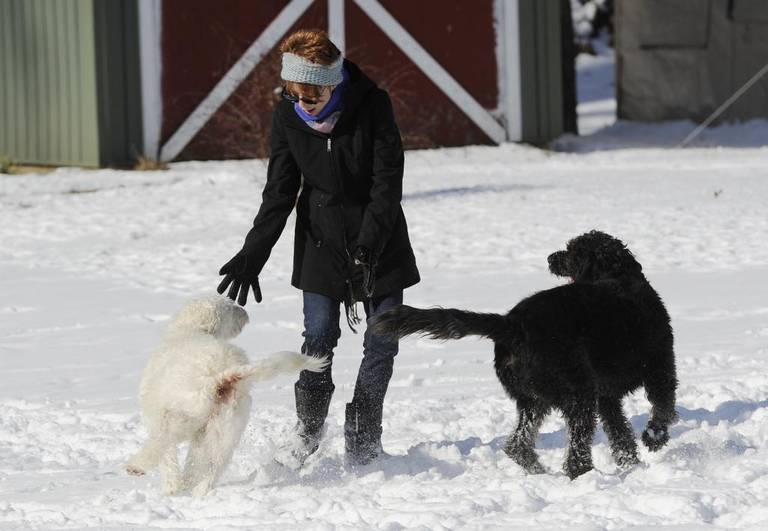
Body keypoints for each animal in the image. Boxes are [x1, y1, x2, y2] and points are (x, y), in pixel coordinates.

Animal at [125, 298, 328, 496]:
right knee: (212, 468)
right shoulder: (201, 435)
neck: (194, 329)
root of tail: (219, 378)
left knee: (160, 444)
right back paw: (198, 492)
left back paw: (136, 466)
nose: (245, 313)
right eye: (230, 307)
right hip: (224, 431)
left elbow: (168, 461)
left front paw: (171, 488)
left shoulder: (157, 416)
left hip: (180, 417)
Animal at [372, 231, 680, 480]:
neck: (618, 276)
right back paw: (586, 477)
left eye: (573, 252)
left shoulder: (607, 397)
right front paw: (654, 438)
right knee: (575, 453)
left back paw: (539, 470)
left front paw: (631, 462)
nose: (551, 258)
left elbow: (620, 433)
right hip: (577, 393)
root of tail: (511, 324)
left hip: (534, 398)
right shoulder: (660, 366)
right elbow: (663, 406)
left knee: (517, 444)